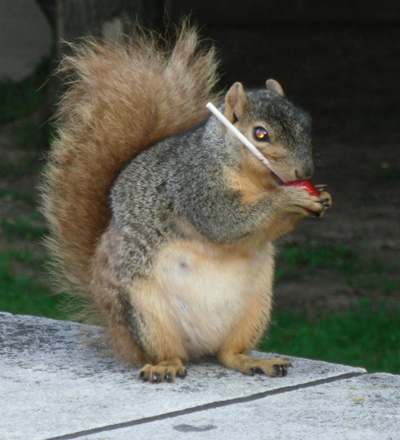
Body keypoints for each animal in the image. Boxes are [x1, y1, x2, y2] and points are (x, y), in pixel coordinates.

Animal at [40, 24, 332, 382]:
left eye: (306, 125)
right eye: (260, 134)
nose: (304, 172)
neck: (253, 178)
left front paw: (322, 196)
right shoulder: (195, 187)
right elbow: (225, 222)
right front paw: (289, 197)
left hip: (255, 310)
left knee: (228, 354)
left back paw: (254, 361)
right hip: (144, 313)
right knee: (167, 353)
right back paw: (164, 366)